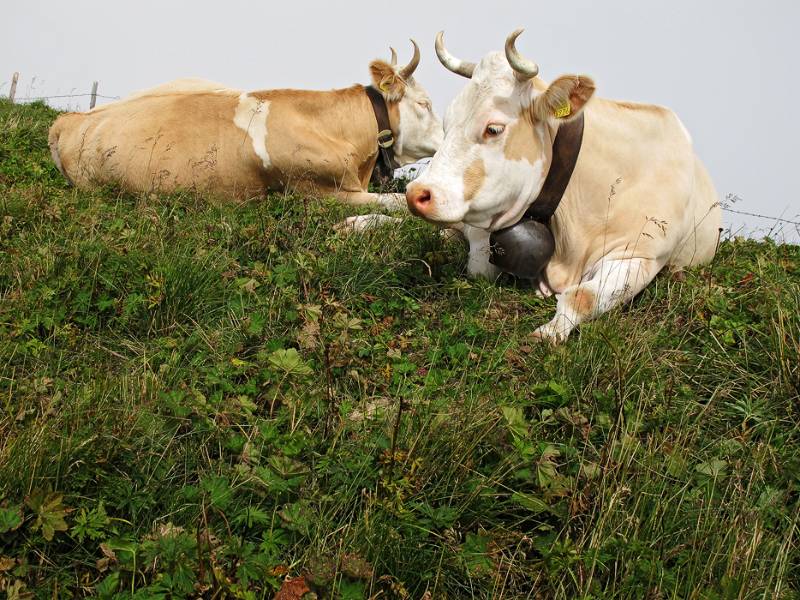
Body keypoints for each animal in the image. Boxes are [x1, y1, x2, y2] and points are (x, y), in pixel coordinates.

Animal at [406, 31, 724, 342]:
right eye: (447, 124)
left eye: (493, 128)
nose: (417, 193)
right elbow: (480, 266)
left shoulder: (640, 255)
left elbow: (582, 297)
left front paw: (548, 332)